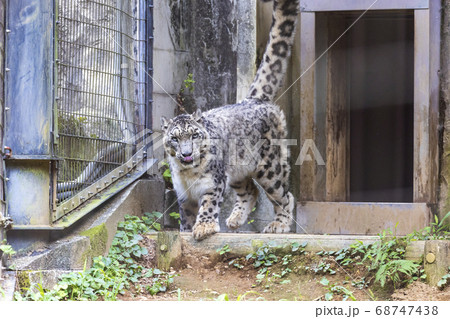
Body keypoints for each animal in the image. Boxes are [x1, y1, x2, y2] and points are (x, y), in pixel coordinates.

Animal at [162, 0, 298, 240]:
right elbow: (186, 213)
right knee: (249, 190)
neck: (187, 173)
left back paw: (279, 224)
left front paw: (204, 227)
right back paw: (235, 219)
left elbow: (208, 204)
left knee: (283, 194)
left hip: (270, 167)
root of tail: (252, 99)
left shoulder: (213, 182)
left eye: (194, 135)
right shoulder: (183, 193)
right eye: (175, 139)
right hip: (237, 170)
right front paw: (186, 231)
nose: (186, 154)